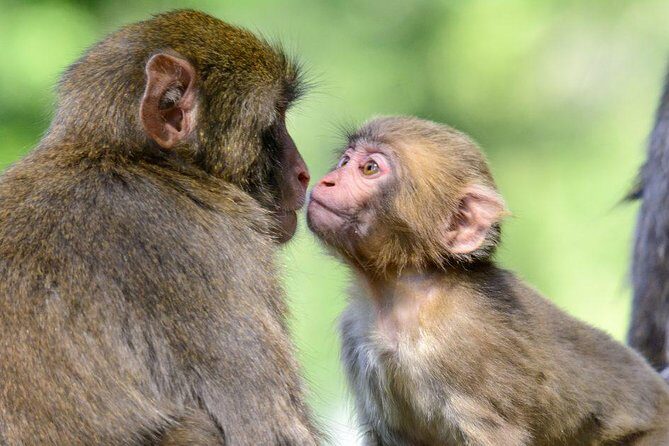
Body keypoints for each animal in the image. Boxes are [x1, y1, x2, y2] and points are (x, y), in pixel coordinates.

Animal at [306, 116, 669, 446]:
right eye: (344, 161)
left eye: (369, 168)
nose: (327, 181)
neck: (406, 294)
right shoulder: (356, 333)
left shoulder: (461, 341)